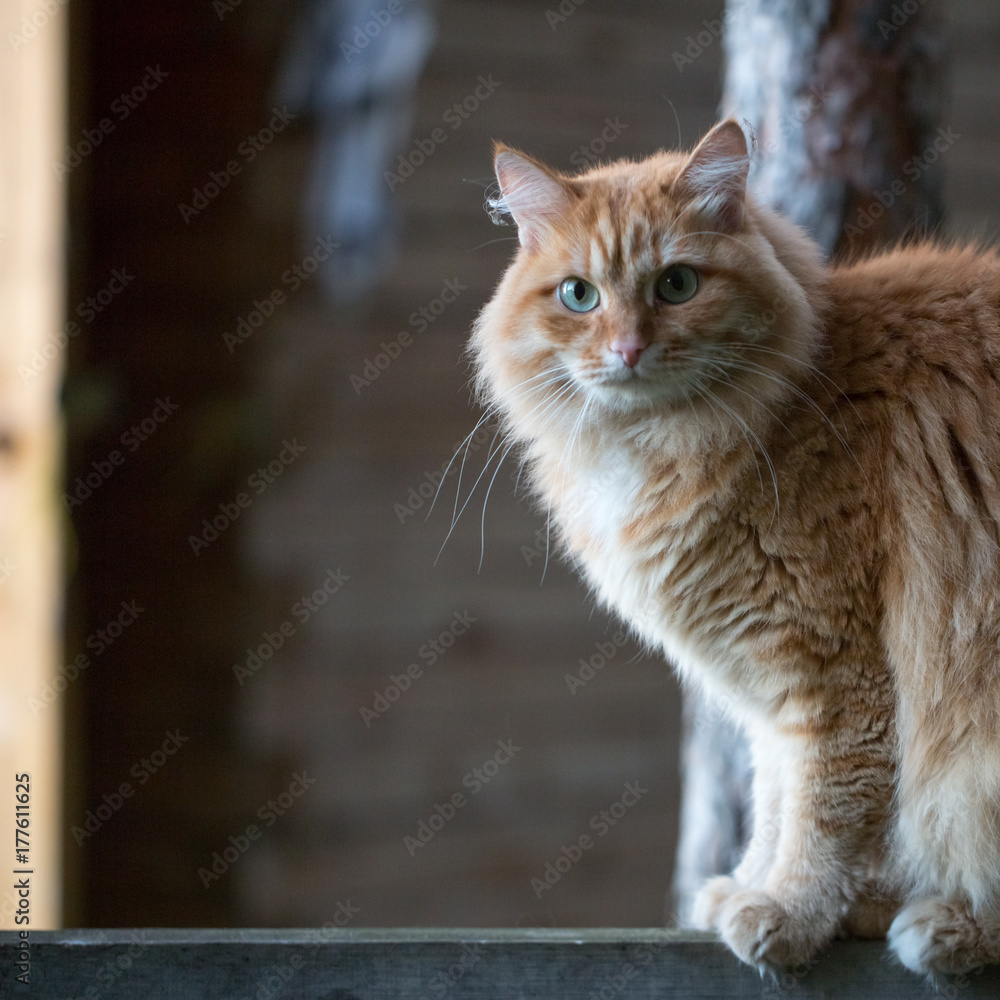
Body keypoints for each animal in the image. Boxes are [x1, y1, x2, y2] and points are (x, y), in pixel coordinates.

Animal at [468, 117, 1000, 976]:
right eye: (580, 295)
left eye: (677, 285)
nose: (627, 350)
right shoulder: (776, 690)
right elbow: (781, 802)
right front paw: (759, 890)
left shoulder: (838, 670)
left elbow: (826, 813)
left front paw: (792, 913)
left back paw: (948, 928)